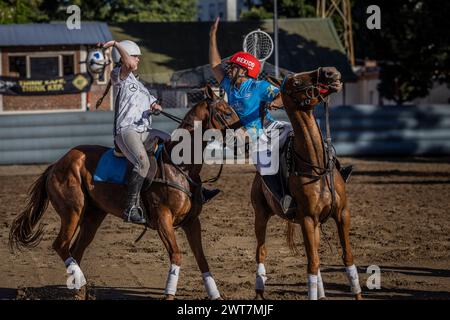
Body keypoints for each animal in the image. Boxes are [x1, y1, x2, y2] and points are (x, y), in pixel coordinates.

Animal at [7, 85, 239, 300]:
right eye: (227, 113)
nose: (244, 139)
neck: (180, 166)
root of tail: (56, 164)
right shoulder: (163, 218)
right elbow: (176, 254)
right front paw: (169, 294)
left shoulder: (192, 221)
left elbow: (201, 258)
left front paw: (215, 294)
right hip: (72, 211)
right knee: (61, 245)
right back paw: (80, 282)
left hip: (92, 216)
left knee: (76, 251)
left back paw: (79, 288)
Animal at [253, 67, 362, 300]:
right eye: (294, 82)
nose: (330, 72)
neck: (316, 165)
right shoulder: (308, 219)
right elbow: (312, 264)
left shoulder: (341, 214)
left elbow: (347, 258)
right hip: (261, 214)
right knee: (261, 251)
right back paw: (259, 290)